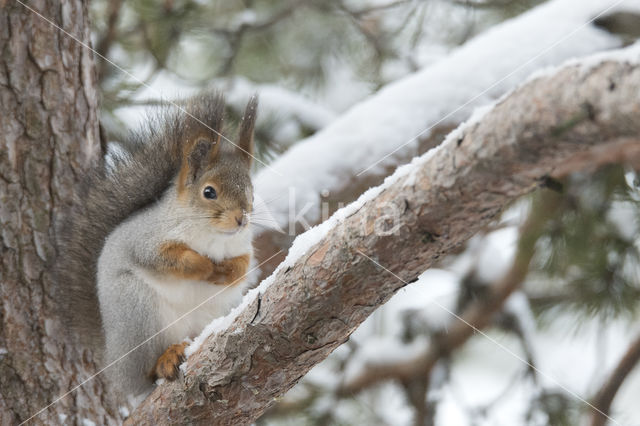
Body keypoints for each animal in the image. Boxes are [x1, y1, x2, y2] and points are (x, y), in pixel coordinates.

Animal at [55, 92, 258, 400]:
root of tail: (113, 362)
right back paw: (165, 359)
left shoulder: (243, 247)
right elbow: (167, 259)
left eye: (252, 193)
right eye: (209, 192)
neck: (212, 236)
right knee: (145, 373)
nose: (241, 219)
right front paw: (204, 265)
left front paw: (226, 271)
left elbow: (243, 267)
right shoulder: (145, 241)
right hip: (138, 312)